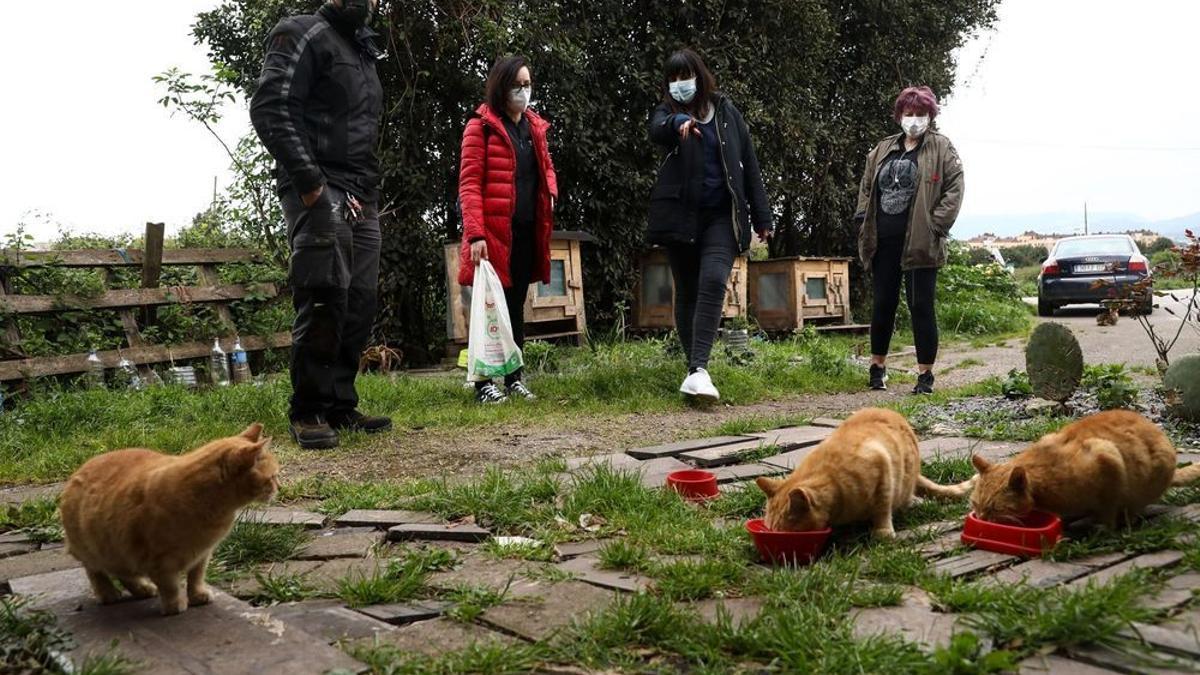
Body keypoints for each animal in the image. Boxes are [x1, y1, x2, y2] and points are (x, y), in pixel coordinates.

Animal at [60, 422, 278, 612]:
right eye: (273, 477)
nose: (279, 487)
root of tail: (78, 470)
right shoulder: (160, 563)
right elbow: (171, 586)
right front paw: (175, 605)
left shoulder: (202, 554)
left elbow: (196, 577)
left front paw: (197, 595)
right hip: (93, 549)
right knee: (95, 571)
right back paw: (108, 593)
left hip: (117, 552)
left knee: (123, 573)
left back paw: (142, 589)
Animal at [969, 410, 1195, 526]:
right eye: (975, 503)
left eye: (995, 508)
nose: (980, 517)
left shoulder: (1107, 457)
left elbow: (1108, 512)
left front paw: (1103, 530)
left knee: (1133, 507)